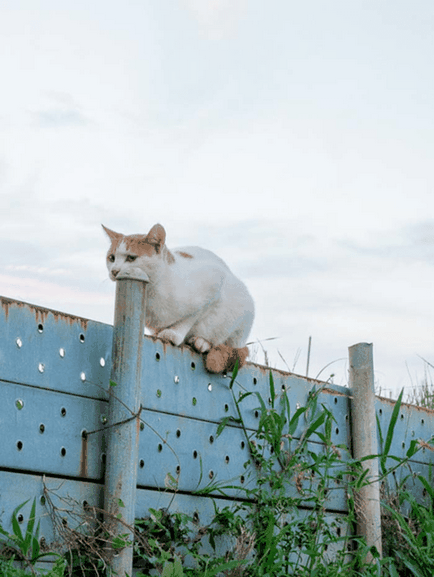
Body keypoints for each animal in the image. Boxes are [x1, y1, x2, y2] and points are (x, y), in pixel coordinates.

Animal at [103, 223, 254, 372]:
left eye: (131, 258)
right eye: (111, 258)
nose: (114, 271)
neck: (152, 292)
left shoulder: (214, 282)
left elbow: (190, 318)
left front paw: (174, 333)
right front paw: (159, 333)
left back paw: (202, 342)